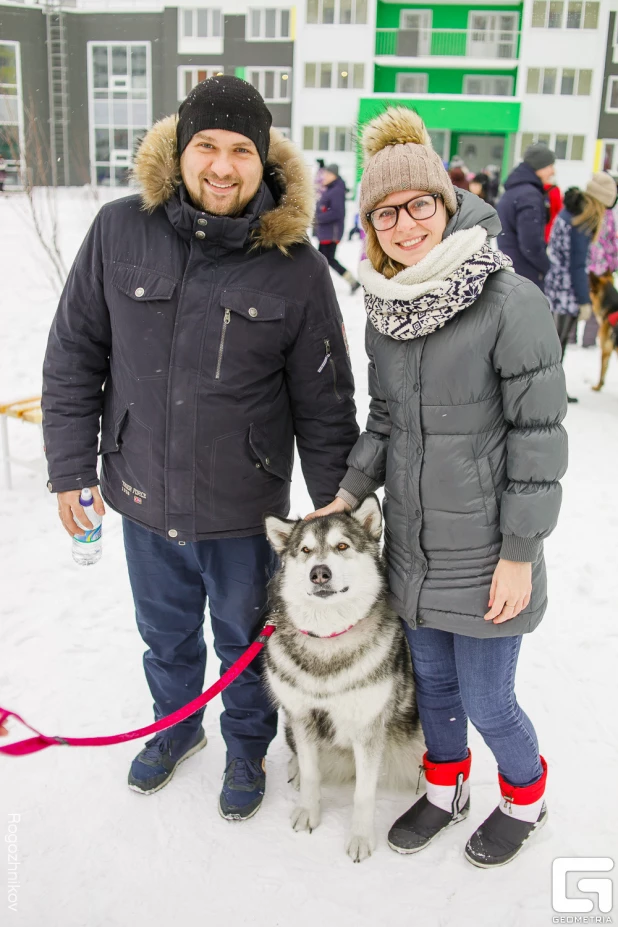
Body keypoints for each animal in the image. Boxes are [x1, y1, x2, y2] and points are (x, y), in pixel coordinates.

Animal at [260, 496, 424, 868]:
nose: (319, 572)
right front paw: (308, 812)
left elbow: (364, 793)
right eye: (305, 550)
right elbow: (311, 773)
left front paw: (360, 839)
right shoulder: (301, 716)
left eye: (342, 546)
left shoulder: (368, 727)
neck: (328, 639)